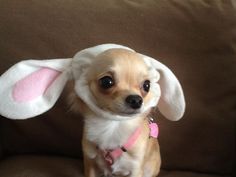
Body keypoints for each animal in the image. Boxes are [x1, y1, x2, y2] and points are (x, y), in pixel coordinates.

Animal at [0, 43, 185, 177]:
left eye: (146, 85)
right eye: (106, 82)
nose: (136, 99)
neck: (112, 127)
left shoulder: (135, 168)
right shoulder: (90, 163)